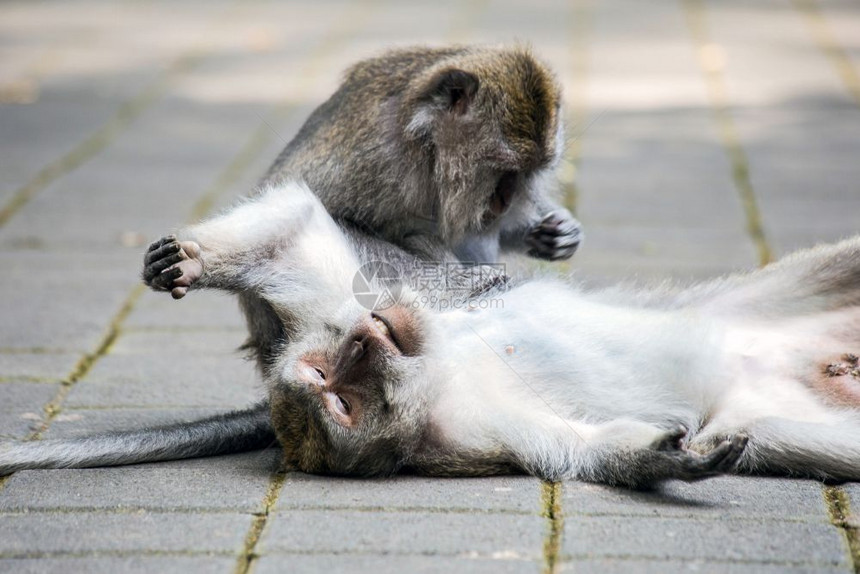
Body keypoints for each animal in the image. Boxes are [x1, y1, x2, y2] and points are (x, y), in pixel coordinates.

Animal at [1, 182, 860, 488]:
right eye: (340, 395)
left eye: (341, 361)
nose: (371, 337)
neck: (444, 368)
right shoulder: (467, 433)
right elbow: (569, 448)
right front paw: (658, 459)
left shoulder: (361, 302)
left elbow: (298, 225)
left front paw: (190, 260)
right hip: (770, 410)